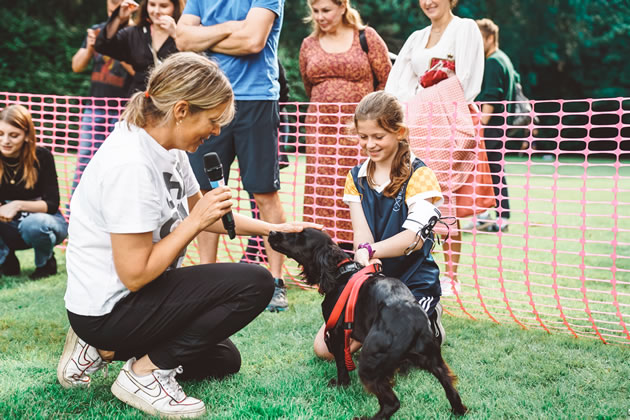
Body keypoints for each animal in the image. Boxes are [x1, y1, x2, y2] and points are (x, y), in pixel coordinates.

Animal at [270, 230, 466, 420]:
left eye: (300, 236)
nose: (271, 232)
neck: (341, 272)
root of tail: (414, 322)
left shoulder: (335, 333)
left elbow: (341, 364)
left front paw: (341, 385)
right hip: (434, 360)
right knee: (450, 388)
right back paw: (458, 410)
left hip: (369, 363)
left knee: (392, 403)